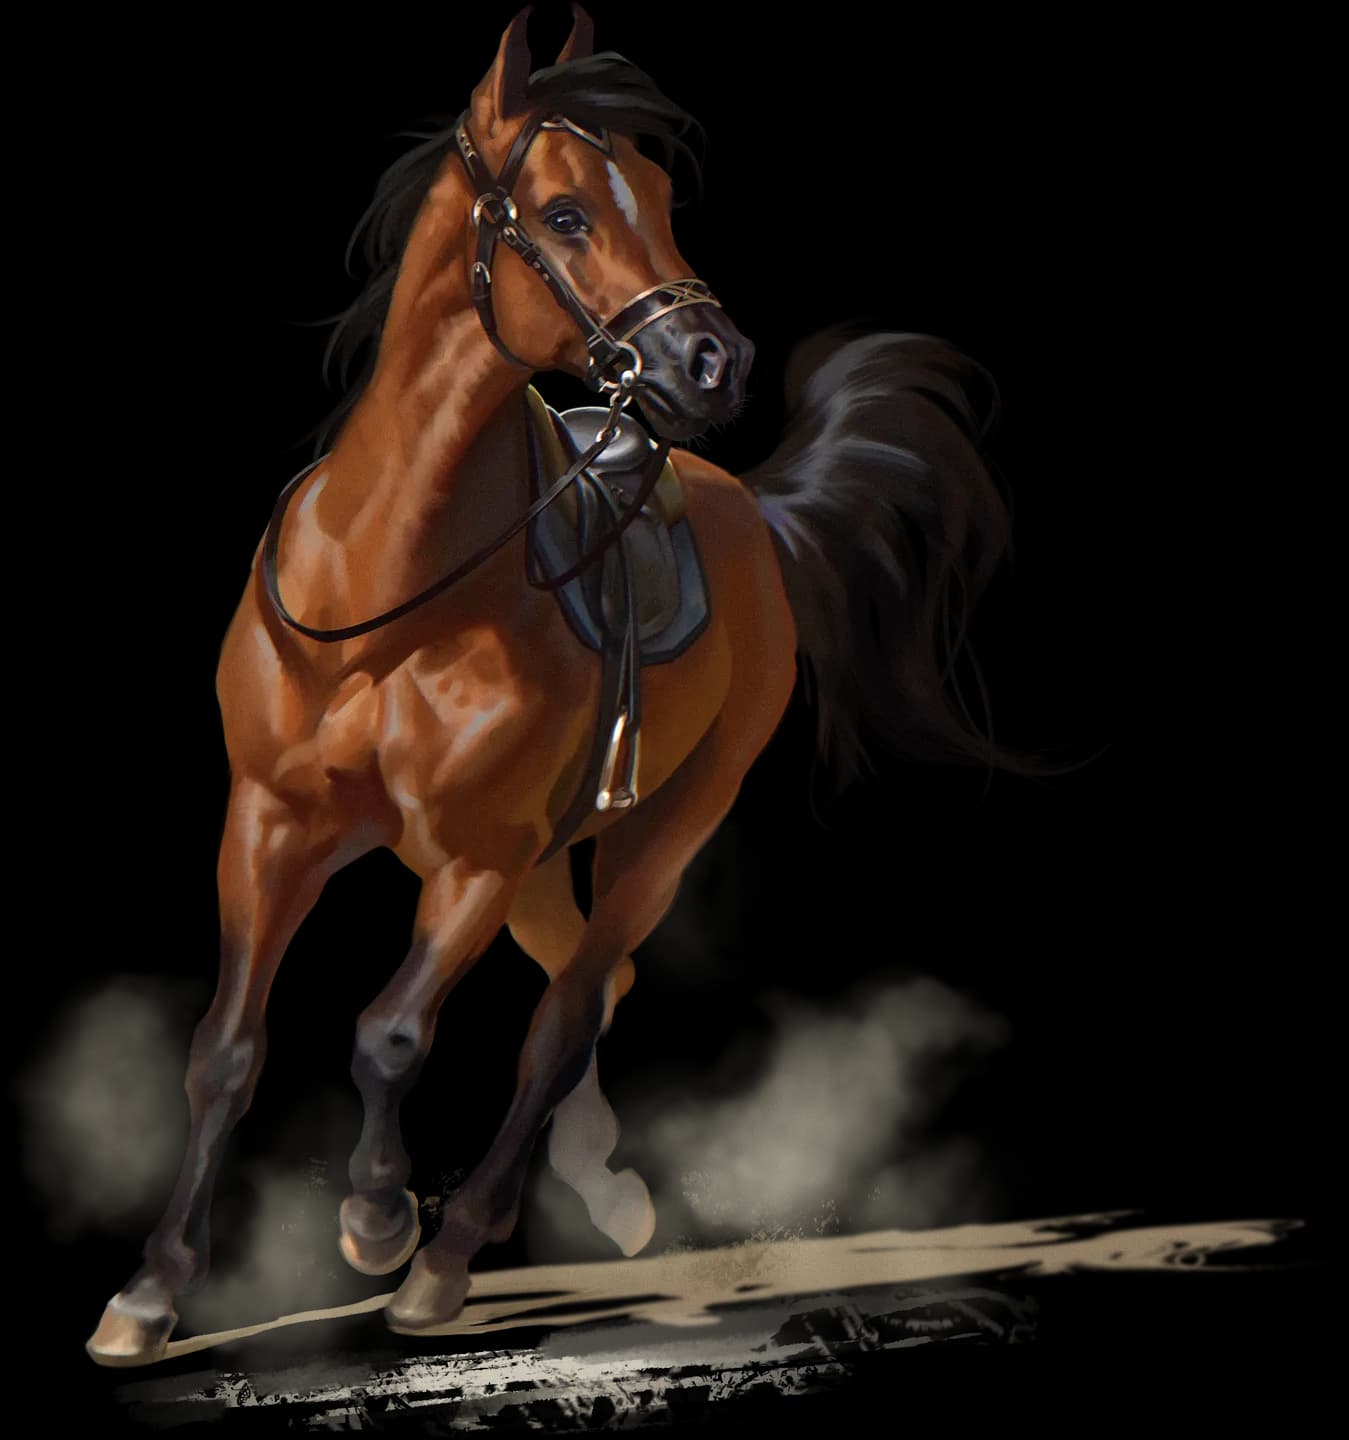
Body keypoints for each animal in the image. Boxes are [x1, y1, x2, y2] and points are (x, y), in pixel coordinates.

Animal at [87, 5, 1029, 1366]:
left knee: (570, 1008)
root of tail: (755, 510)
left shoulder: (471, 859)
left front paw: (378, 1222)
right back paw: (601, 1189)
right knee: (591, 985)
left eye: (661, 197)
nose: (713, 360)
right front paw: (150, 1294)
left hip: (652, 836)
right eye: (571, 213)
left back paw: (455, 1254)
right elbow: (225, 1049)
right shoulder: (267, 826)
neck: (390, 585)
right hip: (541, 862)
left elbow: (388, 1033)